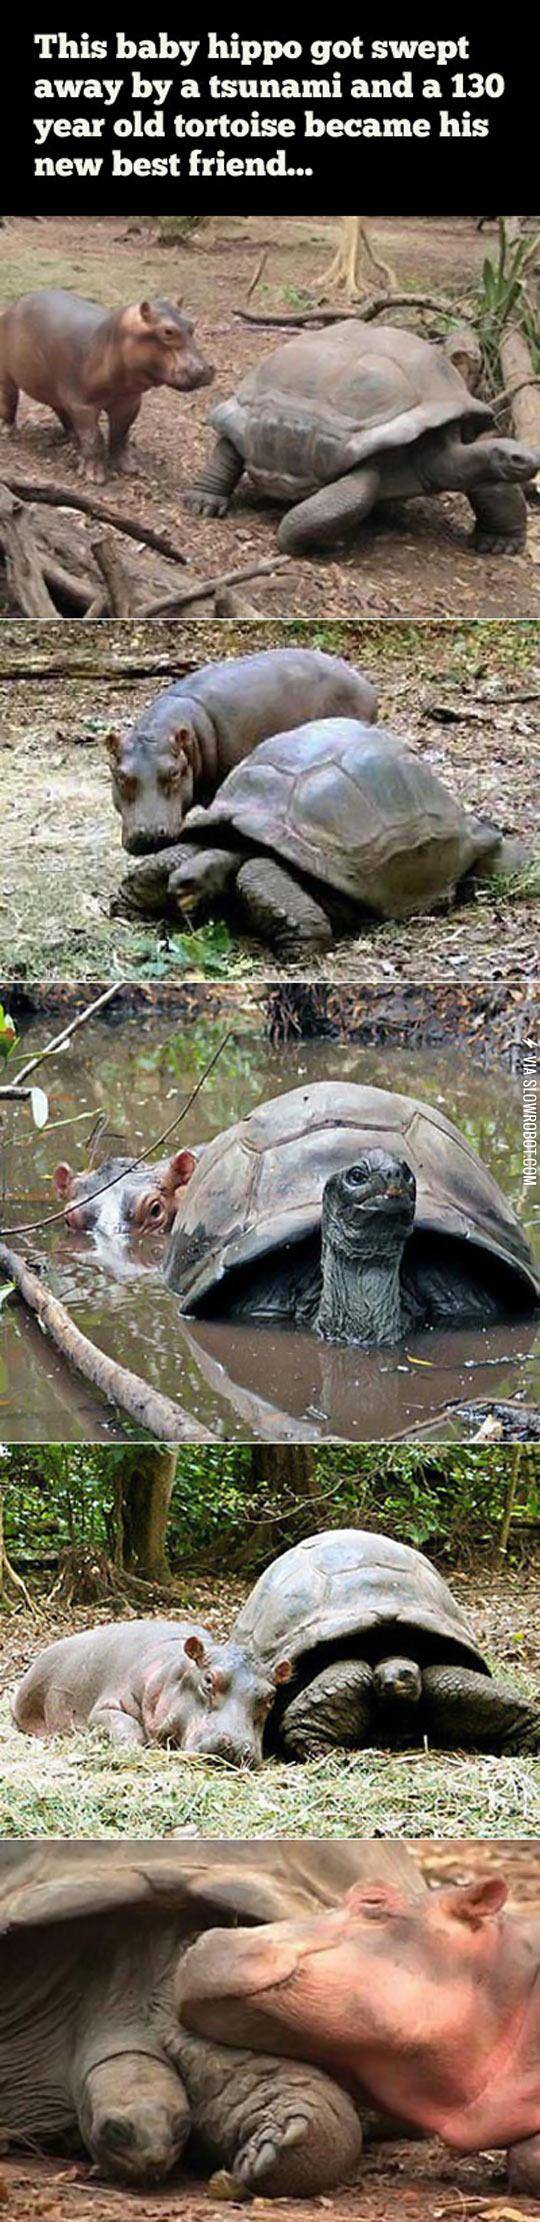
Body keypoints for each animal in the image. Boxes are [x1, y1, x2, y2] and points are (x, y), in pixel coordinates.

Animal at [0, 290, 214, 479]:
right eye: (168, 331)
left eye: (192, 325)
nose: (205, 369)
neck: (110, 342)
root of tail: (13, 307)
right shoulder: (82, 404)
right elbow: (93, 438)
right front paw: (94, 476)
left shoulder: (129, 402)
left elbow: (121, 433)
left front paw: (129, 467)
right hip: (7, 376)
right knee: (9, 400)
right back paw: (9, 432)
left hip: (54, 387)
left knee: (60, 409)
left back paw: (73, 438)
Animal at [12, 1619, 291, 1765]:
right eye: (209, 1680)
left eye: (270, 1696)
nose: (236, 1746)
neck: (172, 1670)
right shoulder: (108, 1702)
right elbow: (120, 1722)